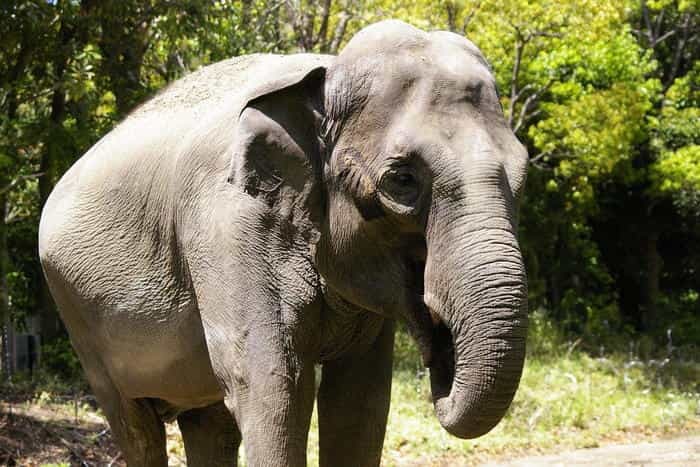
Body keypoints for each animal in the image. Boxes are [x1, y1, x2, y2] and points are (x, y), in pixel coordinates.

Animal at [38, 20, 528, 466]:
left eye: (522, 176)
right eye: (402, 180)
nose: (440, 350)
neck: (324, 76)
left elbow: (360, 401)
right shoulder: (228, 226)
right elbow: (274, 384)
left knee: (209, 423)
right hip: (79, 318)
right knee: (138, 428)